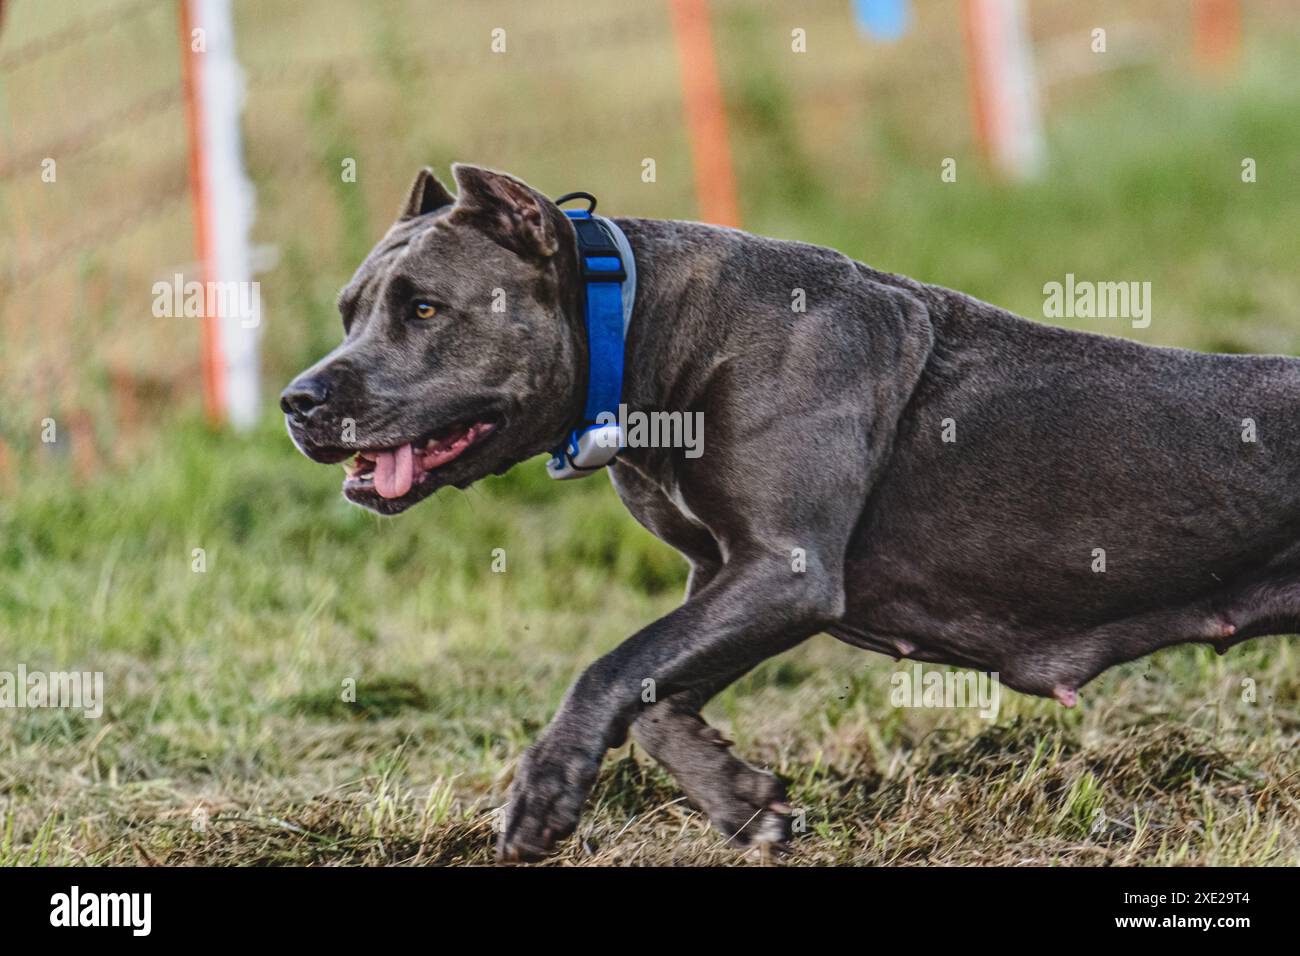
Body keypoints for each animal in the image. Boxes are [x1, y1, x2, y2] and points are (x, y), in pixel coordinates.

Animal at [282, 162, 1289, 858]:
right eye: (347, 311)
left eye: (423, 308)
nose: (297, 399)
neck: (642, 330)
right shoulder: (725, 574)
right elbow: (652, 691)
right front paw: (744, 803)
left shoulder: (785, 571)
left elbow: (611, 667)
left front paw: (542, 797)